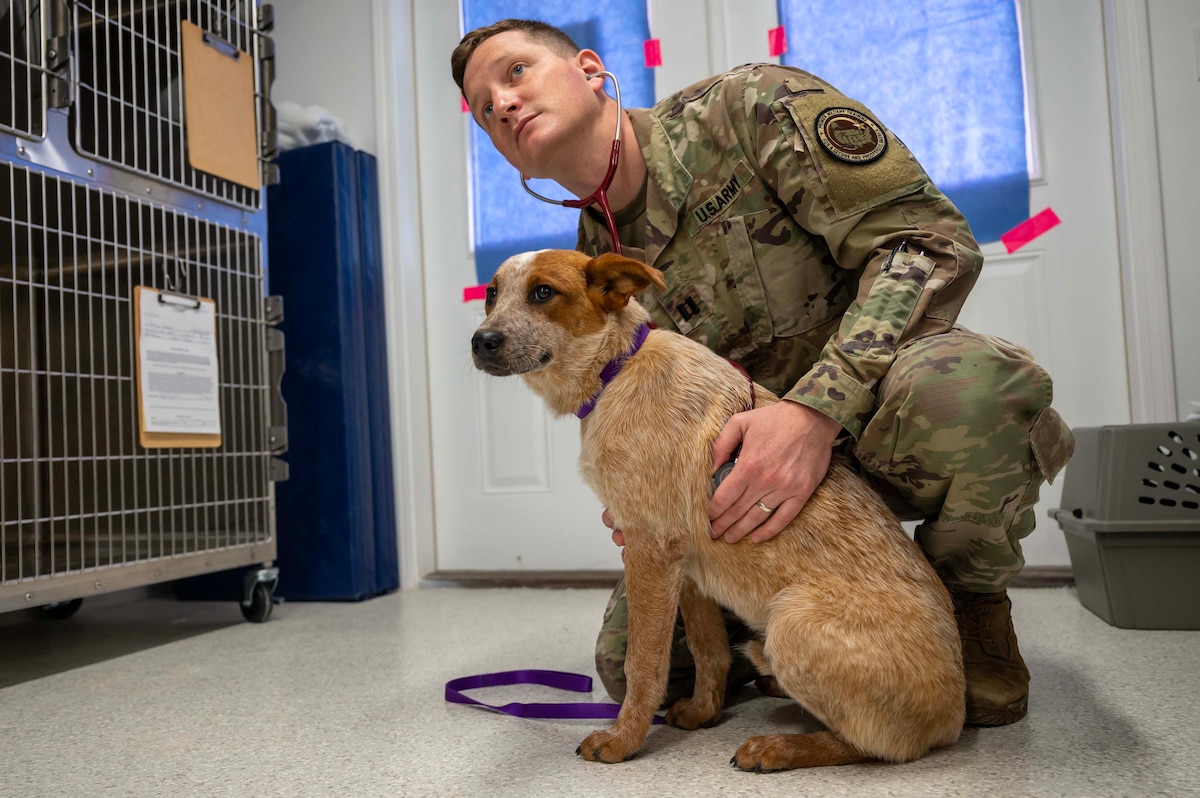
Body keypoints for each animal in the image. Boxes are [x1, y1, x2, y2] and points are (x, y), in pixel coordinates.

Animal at [468, 250, 964, 772]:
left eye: (543, 292)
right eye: (492, 294)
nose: (480, 341)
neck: (615, 370)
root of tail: (954, 716)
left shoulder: (650, 549)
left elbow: (642, 663)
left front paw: (624, 740)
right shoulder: (684, 565)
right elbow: (709, 649)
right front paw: (704, 710)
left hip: (790, 623)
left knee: (875, 746)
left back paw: (779, 747)